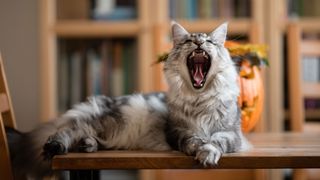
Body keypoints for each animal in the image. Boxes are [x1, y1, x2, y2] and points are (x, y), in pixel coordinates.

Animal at [8, 22, 250, 179]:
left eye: (209, 41)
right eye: (190, 40)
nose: (199, 41)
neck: (199, 98)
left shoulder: (231, 134)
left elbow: (216, 141)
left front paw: (207, 154)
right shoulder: (176, 131)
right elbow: (191, 140)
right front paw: (198, 149)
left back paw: (88, 145)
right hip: (109, 122)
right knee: (67, 131)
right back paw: (57, 146)